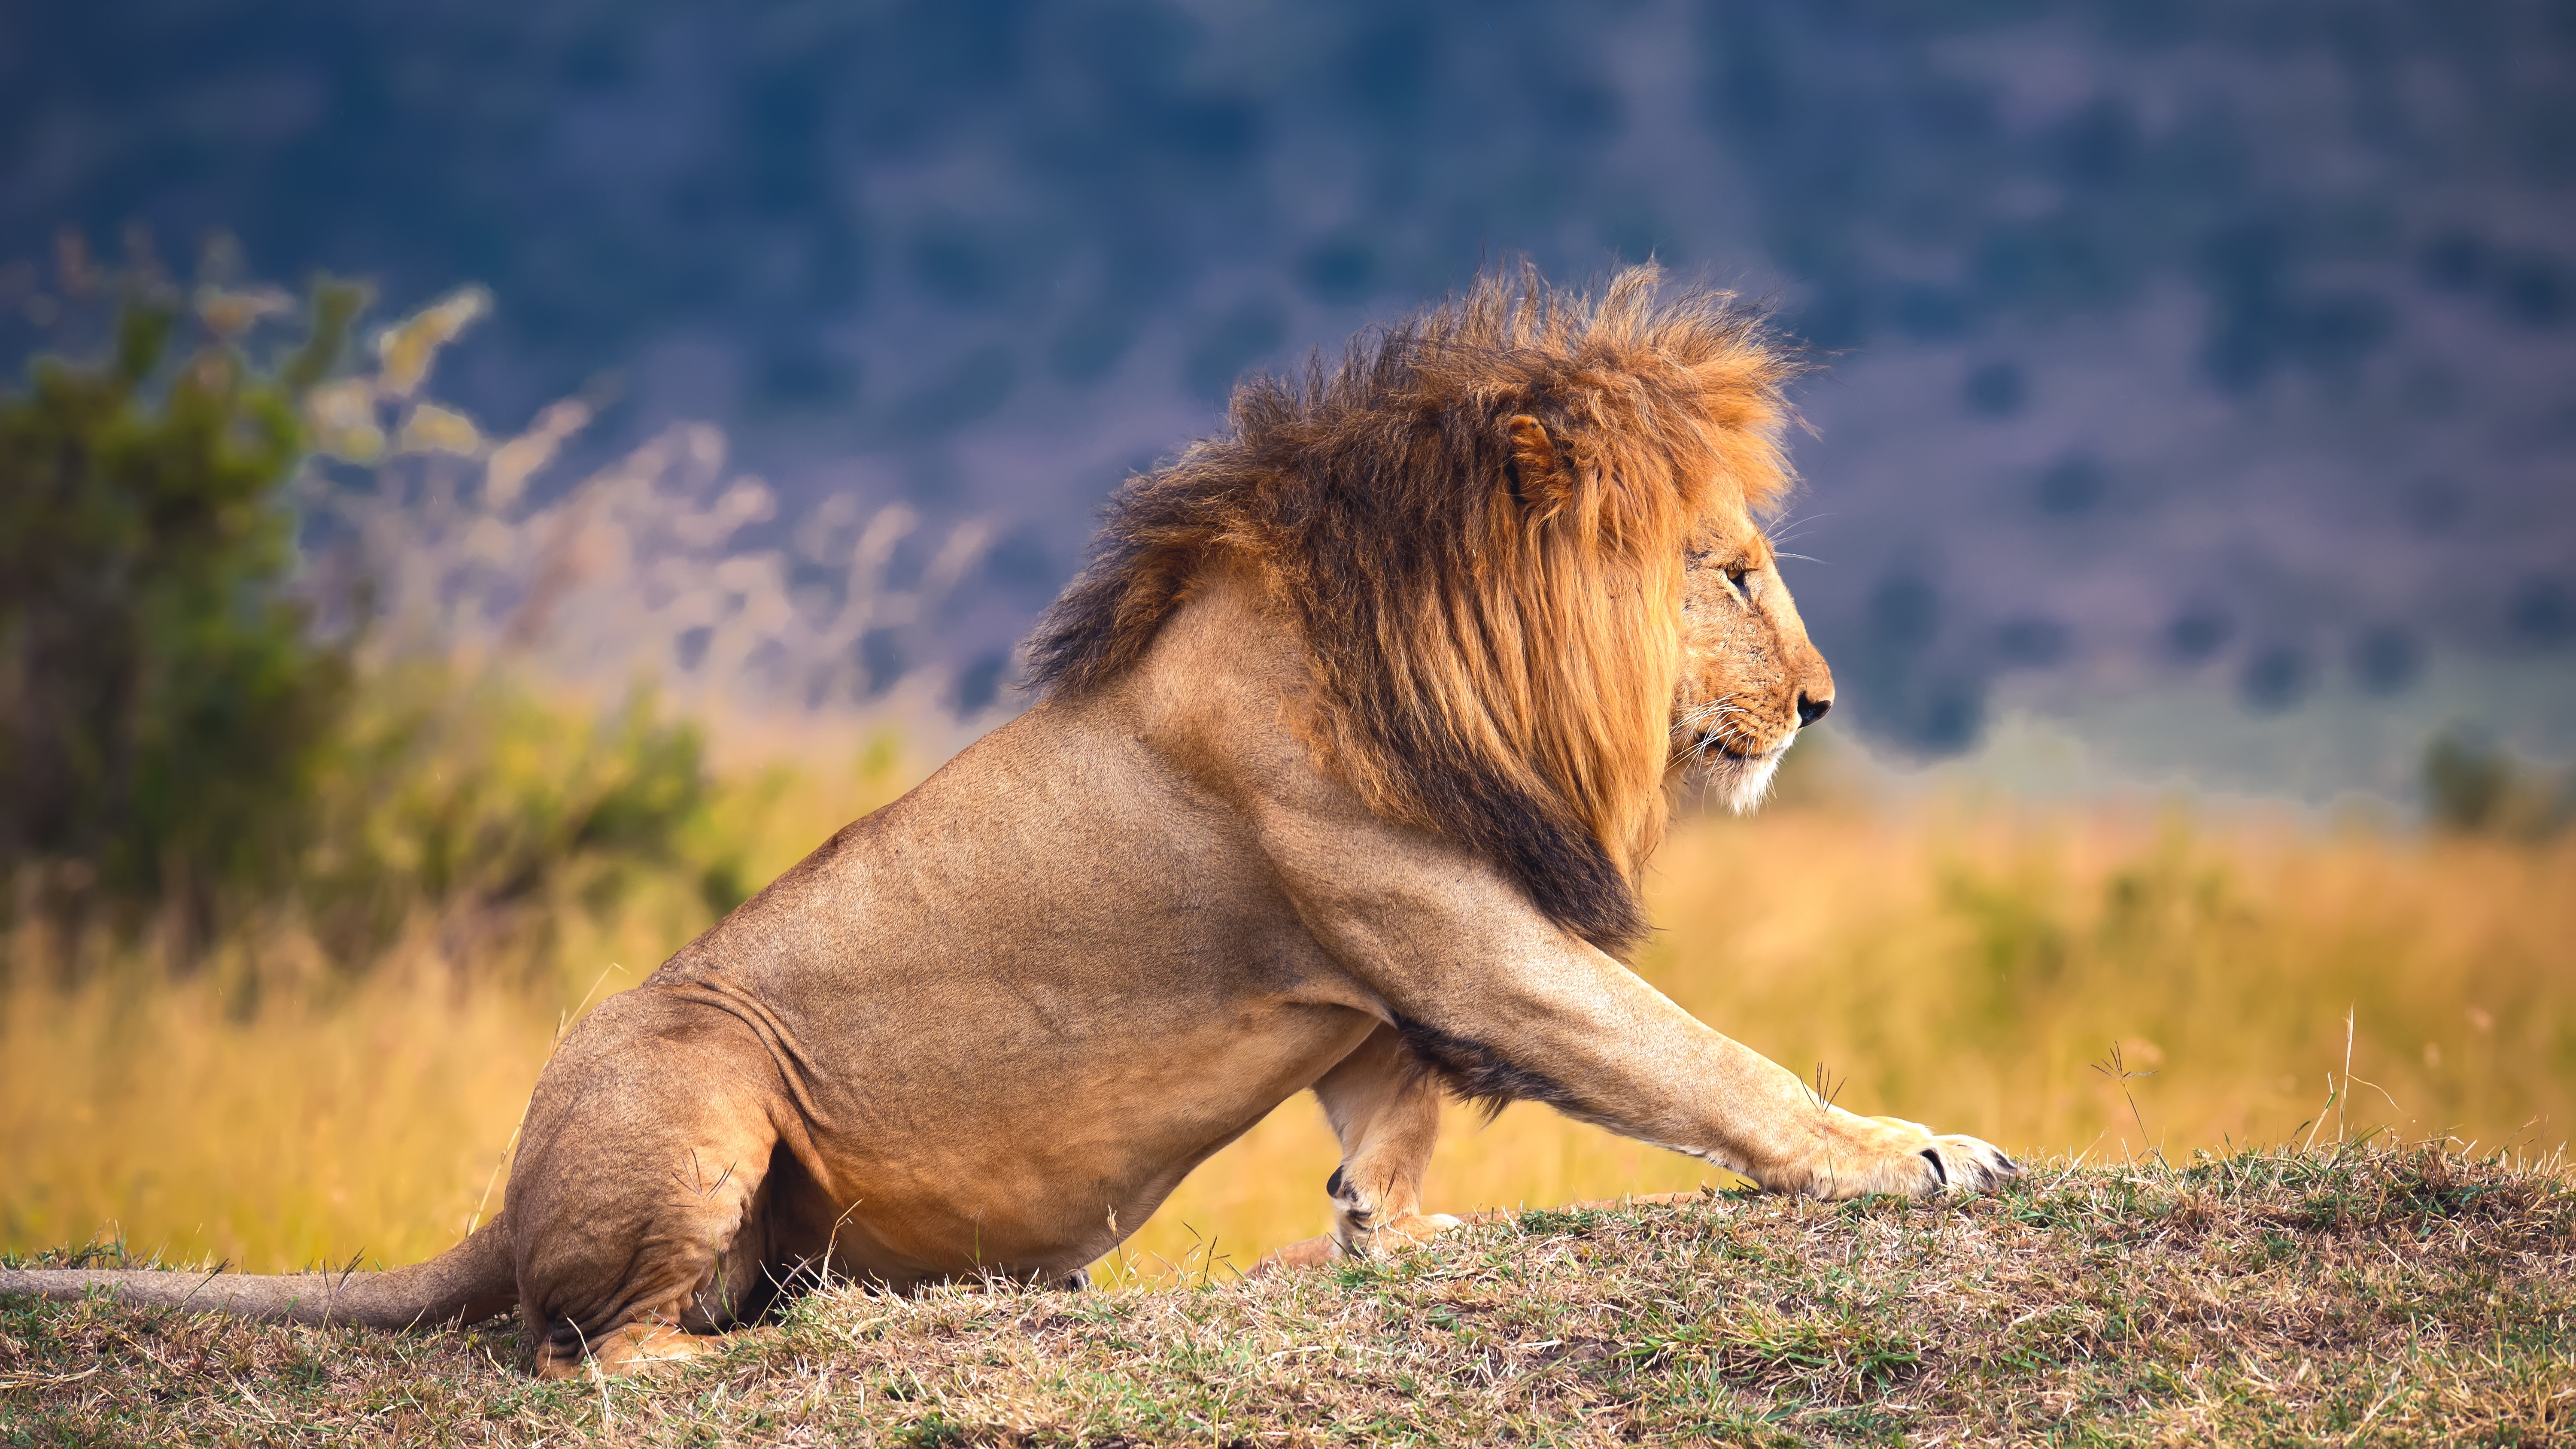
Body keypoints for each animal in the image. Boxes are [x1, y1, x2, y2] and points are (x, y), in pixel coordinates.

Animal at [0, 261, 2009, 1371]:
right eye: (1730, 570)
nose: (1822, 704)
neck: (1438, 650)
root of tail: (501, 1203)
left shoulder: (1399, 974)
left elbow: (1397, 1133)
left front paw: (1385, 1235)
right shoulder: (1448, 923)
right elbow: (1700, 1060)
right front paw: (1916, 1148)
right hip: (700, 1066)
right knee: (592, 1354)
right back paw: (792, 1349)